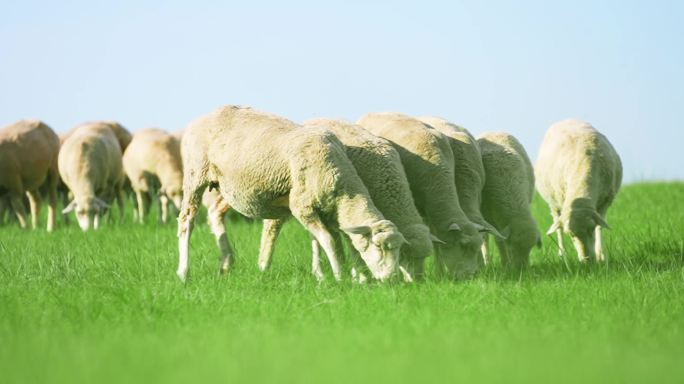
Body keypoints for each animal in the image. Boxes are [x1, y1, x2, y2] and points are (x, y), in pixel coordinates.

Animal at [176, 105, 408, 282]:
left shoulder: (322, 211)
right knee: (187, 220)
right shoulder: (301, 206)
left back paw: (226, 263)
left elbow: (325, 241)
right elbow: (329, 241)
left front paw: (330, 276)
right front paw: (339, 277)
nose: (393, 279)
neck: (343, 186)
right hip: (195, 174)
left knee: (214, 214)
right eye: (379, 247)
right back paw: (183, 273)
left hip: (223, 184)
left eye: (398, 250)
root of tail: (204, 117)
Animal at [256, 118, 438, 280]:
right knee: (273, 227)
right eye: (407, 252)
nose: (417, 281)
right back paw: (264, 265)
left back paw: (322, 272)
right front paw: (361, 278)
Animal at [476, 132, 540, 268]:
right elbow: (499, 241)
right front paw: (506, 264)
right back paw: (487, 262)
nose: (523, 269)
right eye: (512, 248)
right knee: (485, 238)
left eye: (530, 249)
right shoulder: (492, 218)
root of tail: (492, 131)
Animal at [536, 119, 624, 260]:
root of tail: (566, 119)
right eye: (571, 234)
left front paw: (601, 255)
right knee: (557, 225)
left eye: (591, 230)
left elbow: (600, 226)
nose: (587, 260)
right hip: (553, 203)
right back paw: (563, 254)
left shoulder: (605, 202)